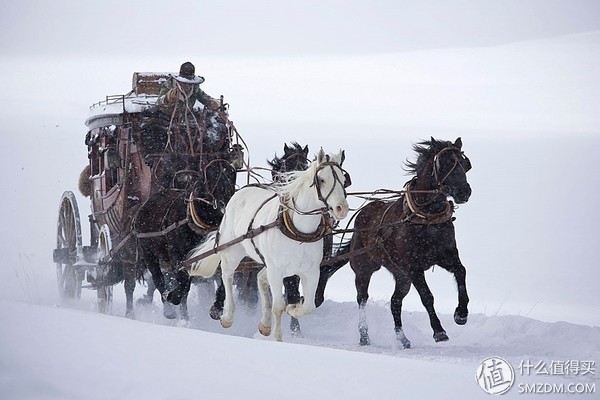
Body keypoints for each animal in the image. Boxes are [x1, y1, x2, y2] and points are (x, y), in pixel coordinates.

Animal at [186, 148, 346, 342]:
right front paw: (277, 338)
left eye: (344, 180)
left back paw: (265, 323)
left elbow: (308, 306)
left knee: (260, 278)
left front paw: (293, 308)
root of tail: (240, 192)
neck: (299, 231)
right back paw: (227, 315)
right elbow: (278, 306)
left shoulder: (311, 271)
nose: (341, 208)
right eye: (322, 179)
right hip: (233, 252)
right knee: (227, 276)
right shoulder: (276, 271)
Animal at [316, 138, 472, 346]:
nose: (465, 192)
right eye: (445, 163)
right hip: (365, 268)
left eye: (464, 164)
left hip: (401, 276)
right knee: (362, 298)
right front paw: (439, 331)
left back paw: (402, 338)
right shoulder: (413, 267)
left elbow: (461, 272)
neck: (425, 218)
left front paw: (461, 314)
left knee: (395, 301)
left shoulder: (446, 256)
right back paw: (364, 335)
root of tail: (361, 217)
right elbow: (427, 296)